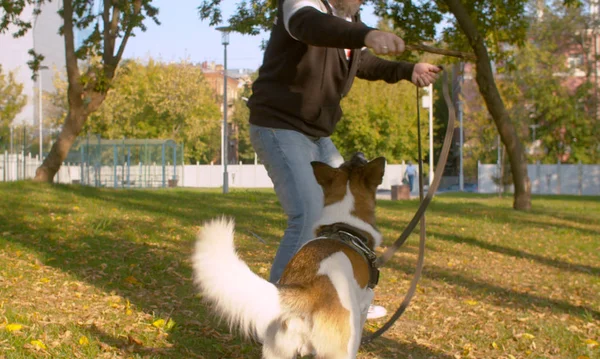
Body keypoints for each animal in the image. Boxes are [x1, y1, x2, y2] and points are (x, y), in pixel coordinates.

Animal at [191, 153, 384, 358]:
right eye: (361, 161)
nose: (357, 154)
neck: (343, 224)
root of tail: (309, 292)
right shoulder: (365, 301)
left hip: (277, 350)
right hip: (339, 350)